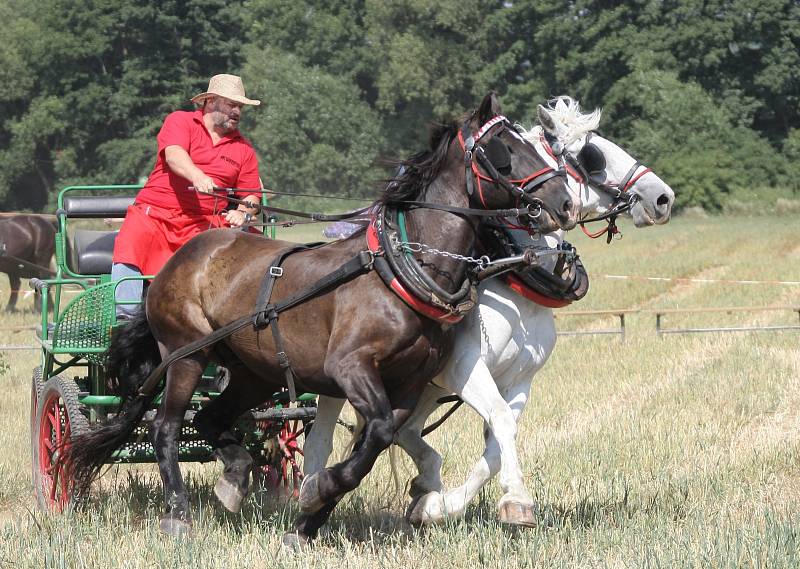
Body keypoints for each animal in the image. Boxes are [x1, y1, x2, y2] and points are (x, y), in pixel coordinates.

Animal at [67, 94, 580, 544]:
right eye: (505, 150)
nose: (566, 204)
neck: (399, 268)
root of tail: (177, 262)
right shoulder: (350, 368)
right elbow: (375, 434)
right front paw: (318, 493)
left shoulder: (409, 384)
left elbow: (375, 443)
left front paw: (308, 517)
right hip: (184, 356)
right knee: (166, 428)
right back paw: (178, 512)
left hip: (252, 371)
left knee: (212, 418)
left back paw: (234, 479)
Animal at [300, 96, 676, 524]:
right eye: (591, 154)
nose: (663, 197)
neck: (514, 279)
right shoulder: (465, 368)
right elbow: (498, 419)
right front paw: (516, 500)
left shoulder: (519, 379)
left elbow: (498, 441)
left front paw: (435, 505)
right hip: (339, 381)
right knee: (320, 442)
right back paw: (309, 494)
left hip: (423, 387)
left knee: (406, 431)